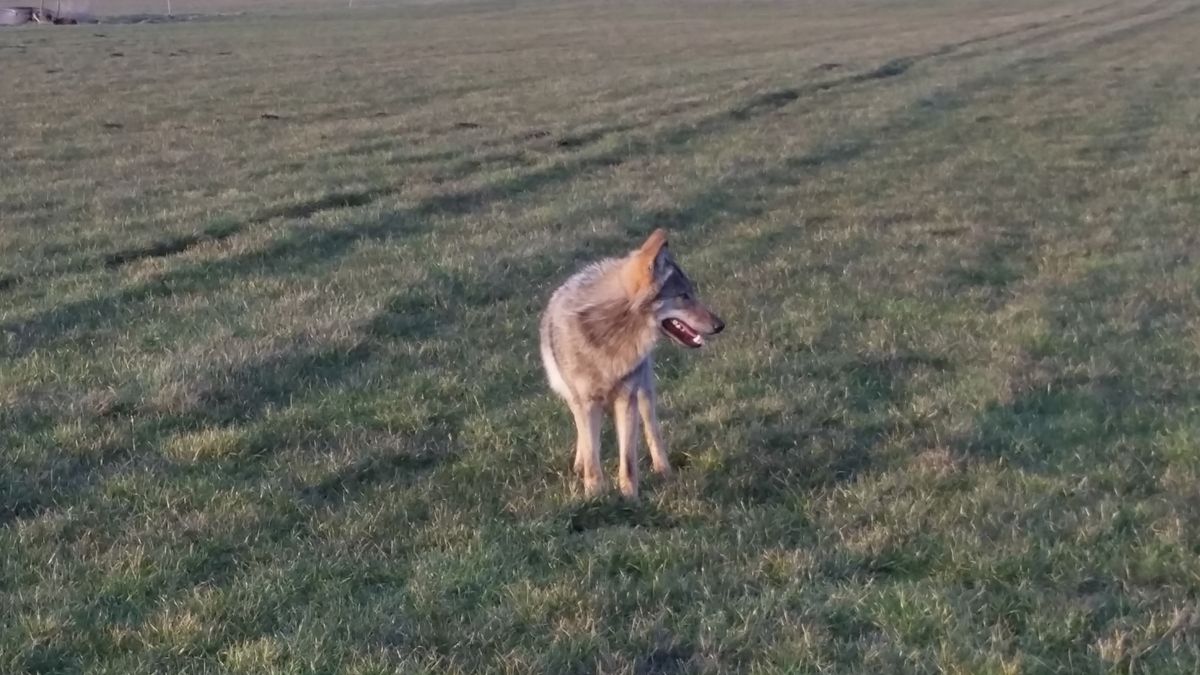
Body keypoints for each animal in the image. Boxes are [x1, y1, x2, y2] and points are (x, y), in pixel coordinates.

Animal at [539, 229, 724, 498]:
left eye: (691, 294)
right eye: (683, 296)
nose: (720, 325)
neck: (610, 333)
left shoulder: (627, 399)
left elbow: (627, 460)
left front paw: (629, 498)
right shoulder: (586, 402)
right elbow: (592, 455)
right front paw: (594, 496)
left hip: (644, 393)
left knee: (652, 430)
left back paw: (663, 470)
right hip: (573, 396)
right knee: (583, 435)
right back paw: (580, 463)